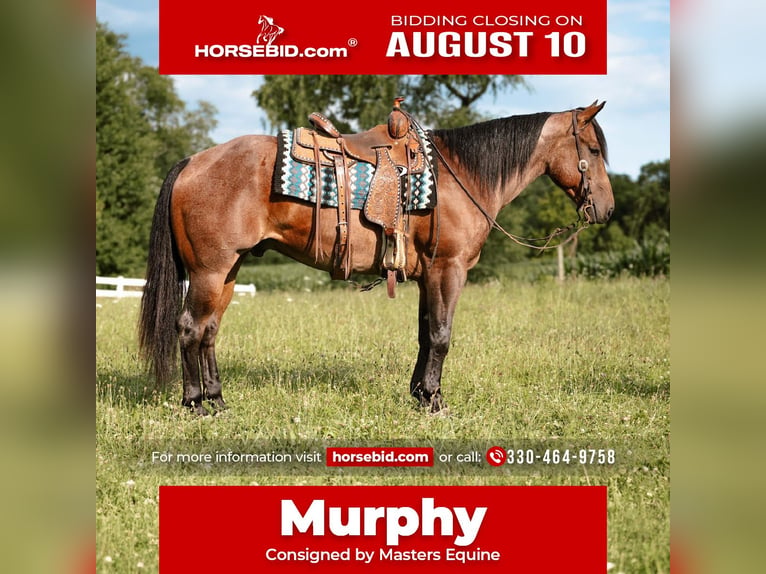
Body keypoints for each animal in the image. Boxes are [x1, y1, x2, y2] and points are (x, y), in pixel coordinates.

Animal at [138, 101, 614, 415]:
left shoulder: (427, 275)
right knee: (189, 328)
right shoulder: (448, 270)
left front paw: (421, 393)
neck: (462, 175)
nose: (607, 210)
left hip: (228, 272)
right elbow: (442, 335)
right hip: (209, 271)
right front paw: (435, 402)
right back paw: (195, 403)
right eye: (592, 150)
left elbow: (425, 335)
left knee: (208, 332)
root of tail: (192, 161)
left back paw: (218, 400)